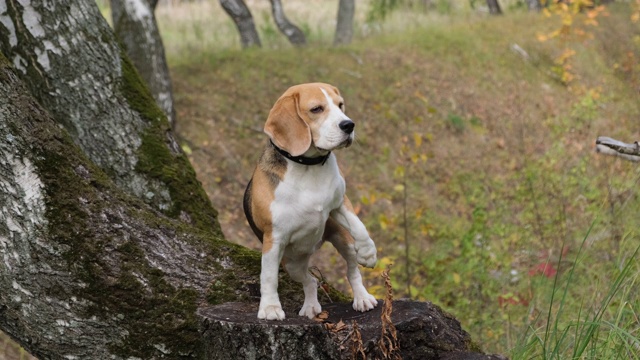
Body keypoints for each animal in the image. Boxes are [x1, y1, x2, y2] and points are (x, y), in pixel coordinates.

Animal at [242, 83, 378, 320]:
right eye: (316, 109)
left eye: (340, 105)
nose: (349, 125)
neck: (308, 166)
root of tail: (310, 252)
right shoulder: (274, 238)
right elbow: (268, 277)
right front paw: (270, 308)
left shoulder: (339, 202)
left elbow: (359, 225)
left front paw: (369, 252)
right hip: (292, 265)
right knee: (311, 280)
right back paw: (310, 306)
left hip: (343, 241)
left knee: (352, 272)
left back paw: (362, 297)